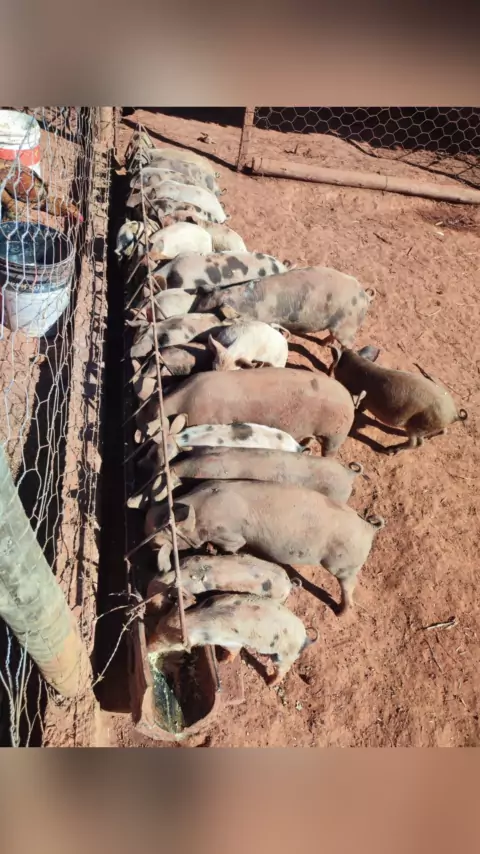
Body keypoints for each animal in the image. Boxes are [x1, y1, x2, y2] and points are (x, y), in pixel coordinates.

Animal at [146, 593, 315, 686]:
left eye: (172, 645)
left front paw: (222, 661)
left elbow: (233, 650)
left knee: (283, 669)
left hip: (284, 655)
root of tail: (305, 637)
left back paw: (270, 684)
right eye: (157, 626)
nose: (147, 648)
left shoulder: (230, 641)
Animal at [331, 345, 469, 455]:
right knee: (443, 431)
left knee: (416, 443)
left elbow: (359, 405)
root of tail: (455, 414)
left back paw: (389, 451)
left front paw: (357, 411)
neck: (357, 368)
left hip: (417, 425)